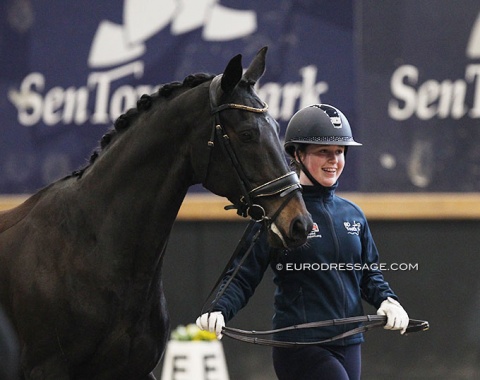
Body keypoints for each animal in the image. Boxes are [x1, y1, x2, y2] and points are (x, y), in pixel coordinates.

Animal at [0, 46, 314, 378]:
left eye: (277, 128)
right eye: (246, 134)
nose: (299, 224)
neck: (90, 248)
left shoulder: (137, 369)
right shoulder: (47, 368)